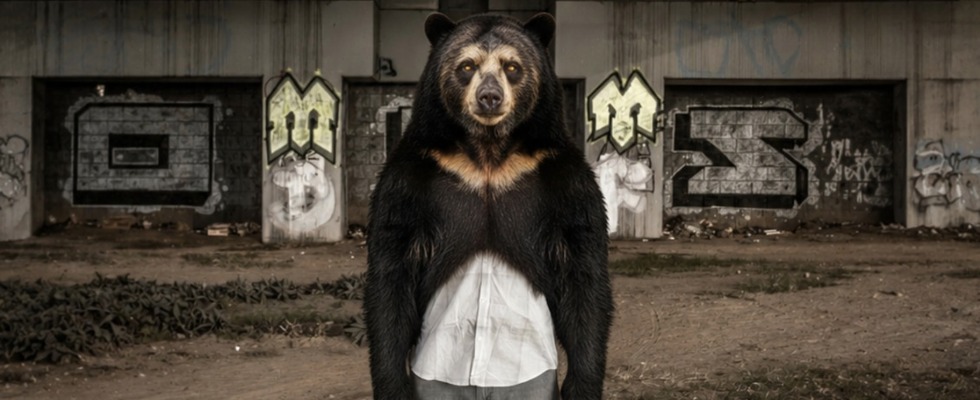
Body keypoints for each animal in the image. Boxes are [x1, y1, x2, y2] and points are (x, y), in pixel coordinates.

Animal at [364, 12, 613, 400]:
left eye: (512, 66)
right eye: (467, 65)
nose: (490, 97)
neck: (488, 152)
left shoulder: (565, 179)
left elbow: (583, 270)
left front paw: (581, 384)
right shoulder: (409, 178)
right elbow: (391, 271)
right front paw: (393, 384)